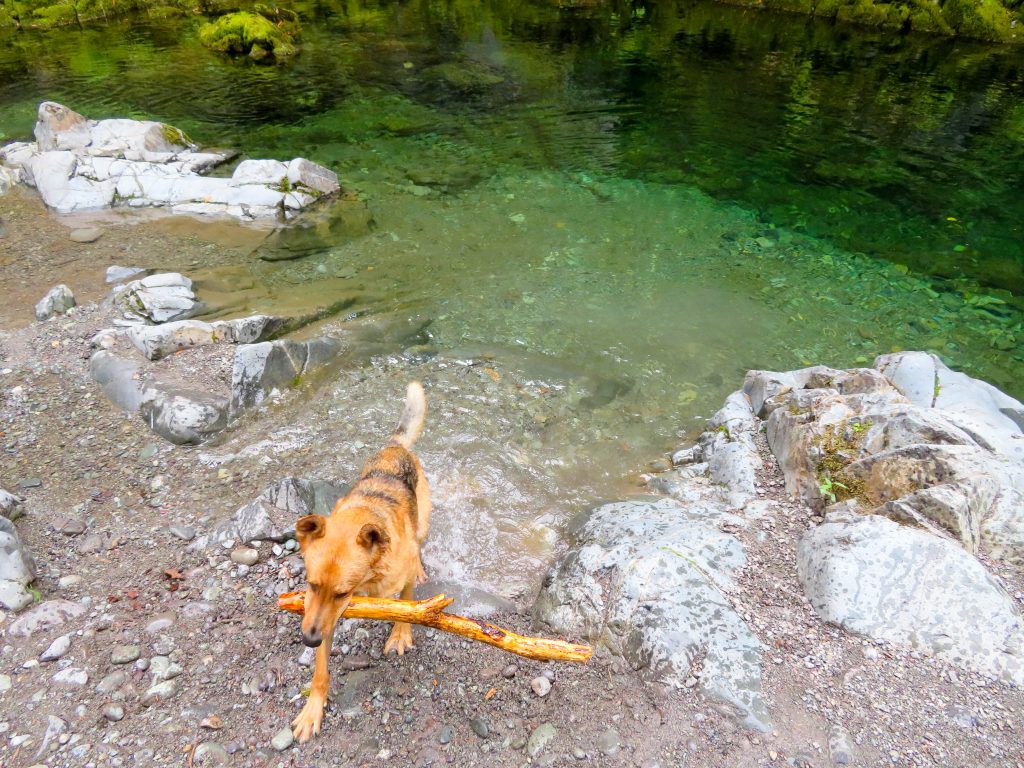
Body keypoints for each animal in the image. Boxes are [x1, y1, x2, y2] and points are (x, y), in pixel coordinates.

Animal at [290, 382, 430, 741]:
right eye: (311, 584)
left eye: (342, 592)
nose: (308, 640)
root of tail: (394, 448)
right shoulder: (322, 616)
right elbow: (321, 669)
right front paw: (313, 708)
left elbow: (406, 602)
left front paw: (400, 634)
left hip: (423, 521)